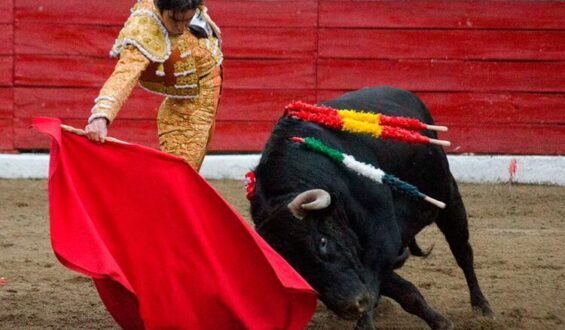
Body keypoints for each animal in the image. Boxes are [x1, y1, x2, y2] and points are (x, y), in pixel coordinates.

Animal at [249, 86, 492, 328]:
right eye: (294, 269)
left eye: (323, 242)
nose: (349, 306)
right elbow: (406, 293)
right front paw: (440, 322)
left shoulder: (383, 239)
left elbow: (376, 285)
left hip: (450, 200)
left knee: (463, 252)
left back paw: (482, 307)